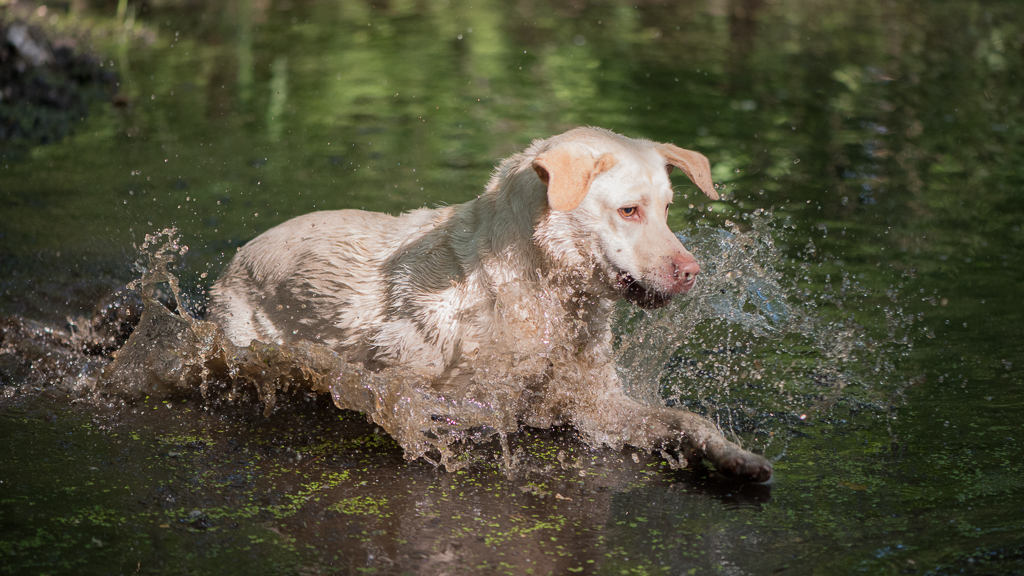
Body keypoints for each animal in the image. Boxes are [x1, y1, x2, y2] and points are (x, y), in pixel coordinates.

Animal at [205, 126, 770, 479]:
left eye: (669, 209)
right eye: (629, 210)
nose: (691, 272)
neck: (541, 289)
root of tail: (243, 253)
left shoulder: (598, 405)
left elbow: (687, 420)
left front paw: (736, 457)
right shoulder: (412, 384)